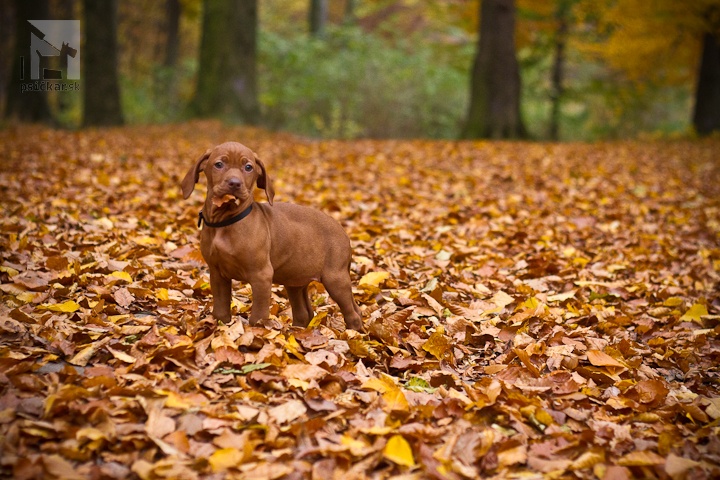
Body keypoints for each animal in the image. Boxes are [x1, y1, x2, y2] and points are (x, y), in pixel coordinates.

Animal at [179, 142, 360, 330]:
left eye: (248, 167)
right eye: (219, 164)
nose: (235, 183)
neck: (226, 221)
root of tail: (343, 231)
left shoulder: (261, 275)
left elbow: (258, 317)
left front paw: (257, 333)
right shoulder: (217, 273)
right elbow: (221, 312)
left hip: (335, 278)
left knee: (353, 314)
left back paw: (352, 334)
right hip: (295, 280)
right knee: (305, 313)